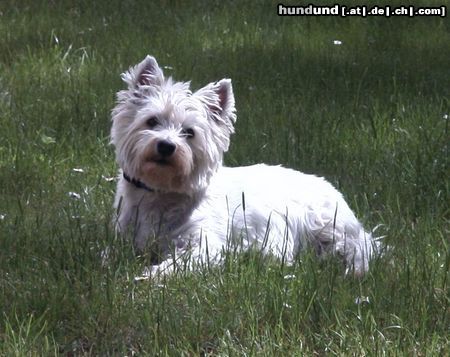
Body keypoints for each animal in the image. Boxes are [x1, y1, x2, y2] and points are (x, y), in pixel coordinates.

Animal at [110, 55, 380, 276]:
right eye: (152, 121)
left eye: (189, 132)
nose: (166, 146)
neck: (161, 193)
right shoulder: (124, 235)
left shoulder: (205, 243)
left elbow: (177, 264)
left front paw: (145, 278)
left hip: (328, 225)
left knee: (352, 248)